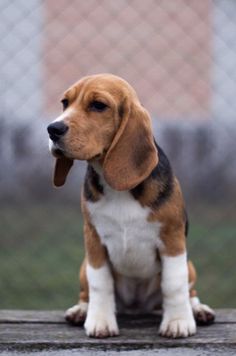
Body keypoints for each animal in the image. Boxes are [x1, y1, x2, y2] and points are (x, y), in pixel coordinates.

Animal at [47, 73, 215, 338]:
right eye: (65, 103)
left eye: (98, 105)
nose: (53, 129)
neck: (116, 188)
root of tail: (137, 306)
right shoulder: (94, 241)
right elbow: (100, 283)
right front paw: (100, 321)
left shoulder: (173, 239)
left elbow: (174, 284)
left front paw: (178, 321)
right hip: (84, 266)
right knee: (87, 291)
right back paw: (81, 309)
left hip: (190, 266)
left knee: (190, 291)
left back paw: (198, 310)